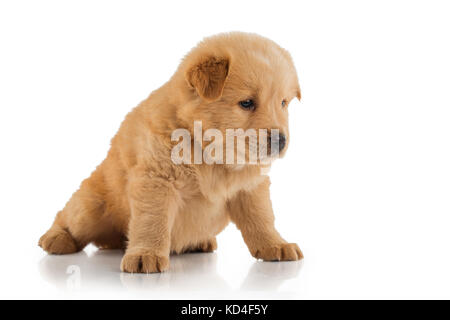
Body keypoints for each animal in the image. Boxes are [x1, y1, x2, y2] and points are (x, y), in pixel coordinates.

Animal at [38, 31, 302, 272]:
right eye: (246, 103)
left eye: (283, 103)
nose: (281, 140)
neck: (211, 154)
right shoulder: (156, 180)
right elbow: (152, 222)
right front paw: (145, 256)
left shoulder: (250, 187)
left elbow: (262, 219)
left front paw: (276, 245)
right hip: (90, 208)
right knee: (67, 216)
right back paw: (55, 239)